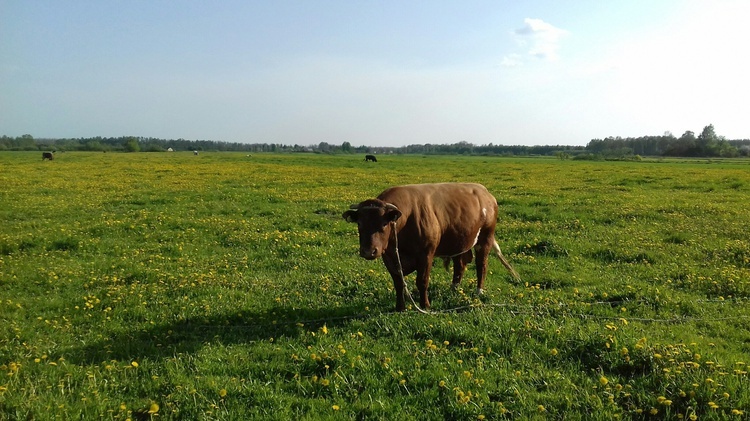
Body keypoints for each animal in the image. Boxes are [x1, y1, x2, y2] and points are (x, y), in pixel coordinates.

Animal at [344, 182, 520, 310]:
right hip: (459, 240)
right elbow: (399, 283)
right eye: (359, 223)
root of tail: (485, 192)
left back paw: (478, 292)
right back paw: (454, 288)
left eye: (384, 224)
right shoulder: (389, 257)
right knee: (460, 264)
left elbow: (422, 281)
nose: (368, 251)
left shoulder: (426, 255)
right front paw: (400, 307)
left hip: (485, 238)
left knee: (481, 265)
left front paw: (425, 306)